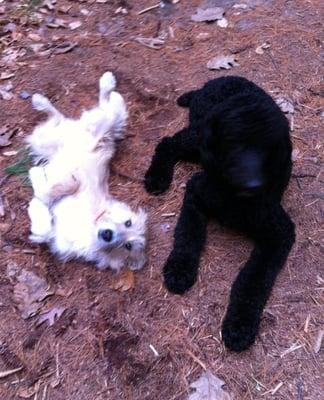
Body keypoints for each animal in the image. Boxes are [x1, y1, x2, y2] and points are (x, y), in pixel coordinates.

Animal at [26, 72, 147, 272]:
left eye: (128, 246)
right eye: (128, 222)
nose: (107, 235)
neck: (91, 228)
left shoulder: (55, 239)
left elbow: (42, 230)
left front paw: (36, 185)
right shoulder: (76, 184)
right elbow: (63, 185)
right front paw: (40, 181)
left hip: (44, 140)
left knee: (59, 117)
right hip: (92, 129)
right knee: (103, 111)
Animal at [146, 76, 294, 352]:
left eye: (267, 147)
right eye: (233, 143)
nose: (253, 185)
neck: (234, 198)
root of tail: (214, 81)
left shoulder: (278, 232)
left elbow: (253, 278)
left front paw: (240, 324)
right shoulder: (196, 190)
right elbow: (188, 234)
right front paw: (179, 269)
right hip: (198, 139)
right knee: (168, 142)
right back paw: (157, 177)